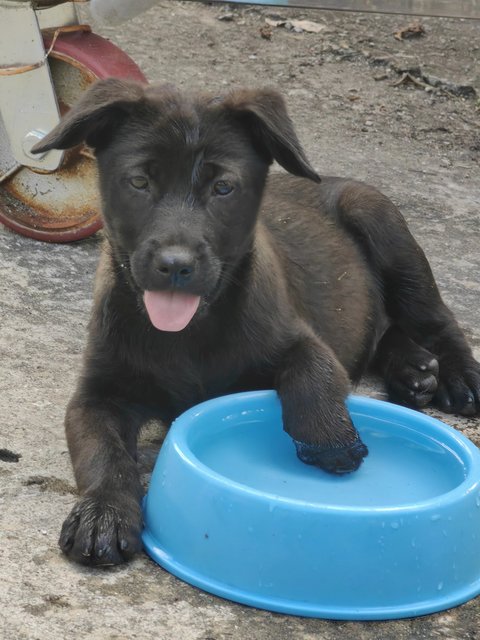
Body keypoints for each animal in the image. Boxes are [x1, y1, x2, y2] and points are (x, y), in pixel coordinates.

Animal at [31, 80, 478, 564]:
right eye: (139, 182)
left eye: (223, 187)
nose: (176, 265)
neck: (187, 335)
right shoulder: (96, 396)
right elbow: (102, 455)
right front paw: (103, 513)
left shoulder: (304, 339)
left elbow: (312, 371)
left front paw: (330, 440)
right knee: (386, 333)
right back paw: (415, 371)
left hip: (383, 226)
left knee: (437, 321)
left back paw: (459, 378)